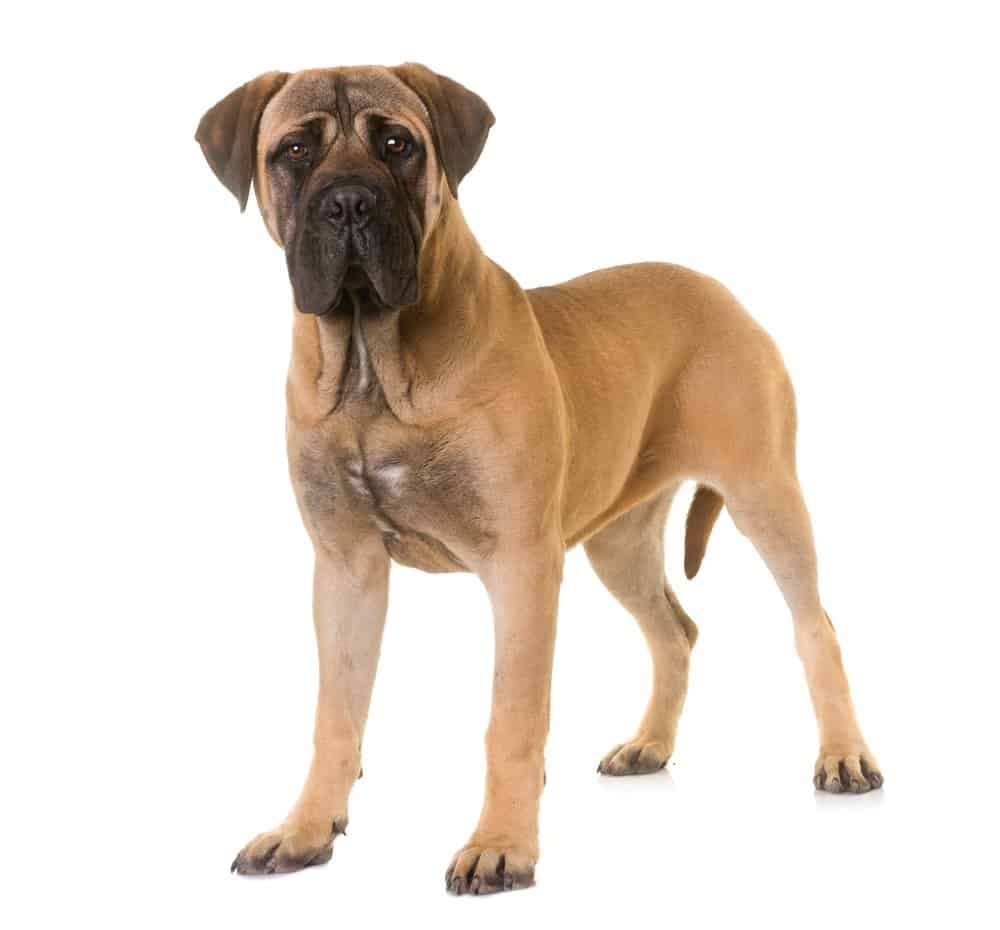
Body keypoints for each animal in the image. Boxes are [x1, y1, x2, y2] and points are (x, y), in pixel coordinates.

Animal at [195, 63, 884, 892]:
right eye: (295, 150)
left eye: (396, 144)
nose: (349, 203)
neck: (373, 365)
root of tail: (718, 289)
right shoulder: (346, 567)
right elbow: (336, 713)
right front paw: (304, 829)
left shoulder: (521, 565)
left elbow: (512, 718)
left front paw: (501, 844)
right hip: (617, 542)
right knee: (675, 630)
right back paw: (649, 744)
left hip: (764, 492)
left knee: (815, 625)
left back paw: (844, 755)